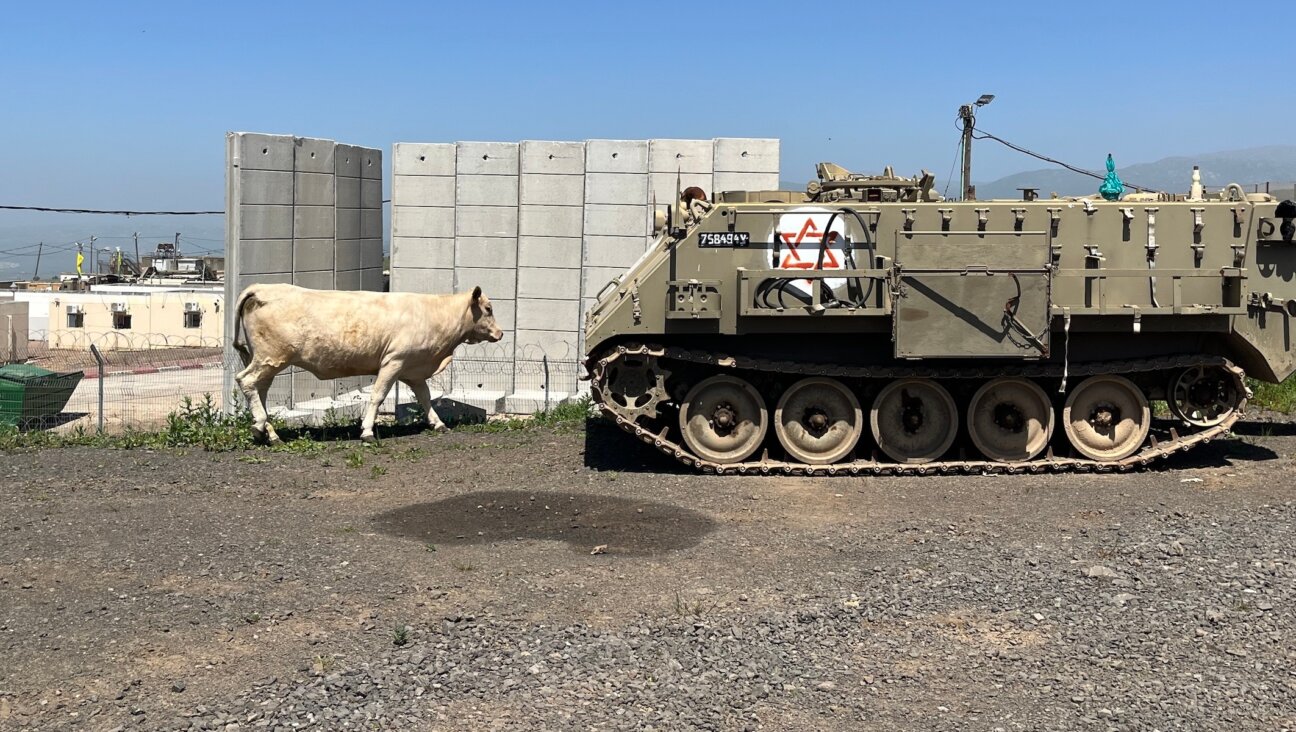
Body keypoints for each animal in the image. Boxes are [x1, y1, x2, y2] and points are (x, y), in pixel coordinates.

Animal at [230, 283, 502, 445]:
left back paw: (270, 433)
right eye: (488, 308)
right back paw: (259, 426)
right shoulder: (394, 361)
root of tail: (261, 287)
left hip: (267, 361)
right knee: (246, 381)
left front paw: (439, 424)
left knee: (259, 390)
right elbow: (378, 396)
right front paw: (368, 431)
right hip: (271, 357)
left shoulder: (413, 369)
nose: (500, 333)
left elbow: (425, 398)